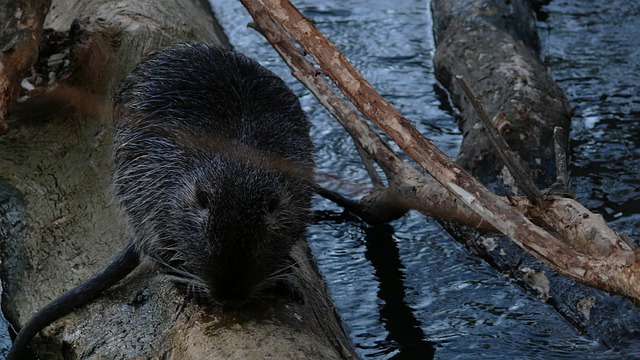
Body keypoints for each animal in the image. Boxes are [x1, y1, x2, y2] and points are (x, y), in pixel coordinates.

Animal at [6, 41, 314, 358]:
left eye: (255, 248)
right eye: (208, 246)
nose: (228, 298)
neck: (236, 156)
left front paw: (282, 278)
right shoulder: (152, 172)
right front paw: (191, 282)